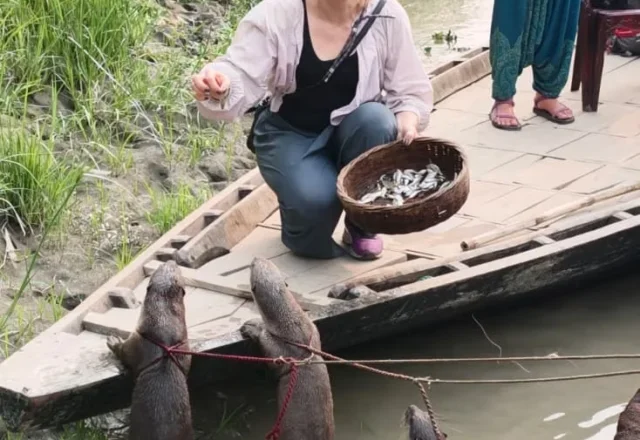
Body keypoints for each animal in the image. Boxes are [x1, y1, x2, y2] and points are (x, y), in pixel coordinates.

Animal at [106, 260, 193, 440]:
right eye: (165, 267)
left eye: (174, 268)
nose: (171, 261)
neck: (164, 339)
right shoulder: (185, 350)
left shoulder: (136, 341)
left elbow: (123, 351)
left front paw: (113, 340)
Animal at [240, 257, 335, 440]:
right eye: (266, 261)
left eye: (252, 266)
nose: (256, 258)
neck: (294, 324)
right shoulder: (314, 330)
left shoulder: (279, 346)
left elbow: (268, 347)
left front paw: (252, 326)